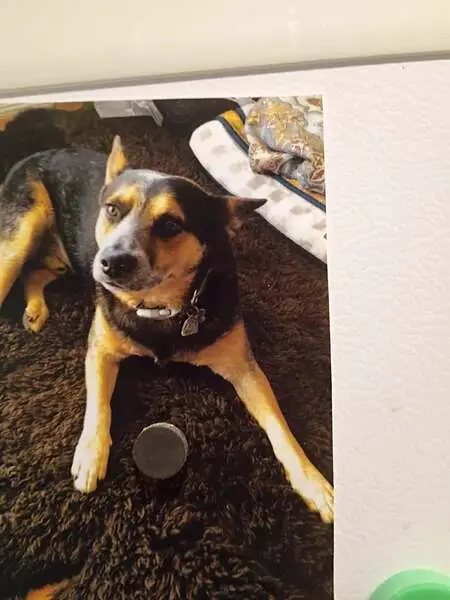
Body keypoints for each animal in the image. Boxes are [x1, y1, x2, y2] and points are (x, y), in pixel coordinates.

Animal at [0, 135, 333, 524]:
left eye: (171, 225)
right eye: (112, 209)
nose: (111, 263)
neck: (160, 306)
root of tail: (36, 153)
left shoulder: (244, 367)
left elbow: (280, 426)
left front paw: (312, 482)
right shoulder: (101, 348)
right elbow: (99, 405)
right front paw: (90, 455)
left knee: (35, 271)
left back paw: (35, 309)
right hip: (21, 234)